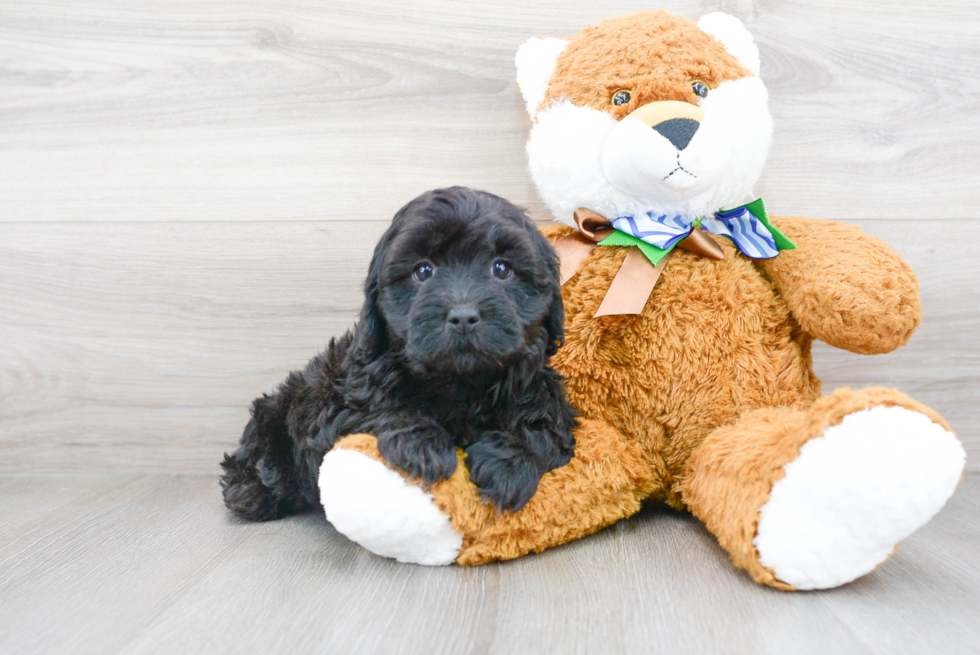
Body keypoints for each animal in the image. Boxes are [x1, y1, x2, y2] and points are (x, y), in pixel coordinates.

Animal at [218, 187, 580, 520]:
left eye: (501, 269)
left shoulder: (540, 388)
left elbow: (542, 423)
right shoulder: (340, 401)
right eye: (423, 271)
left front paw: (508, 462)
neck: (460, 383)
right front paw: (422, 446)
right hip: (274, 416)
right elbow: (380, 410)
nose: (463, 316)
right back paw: (251, 491)